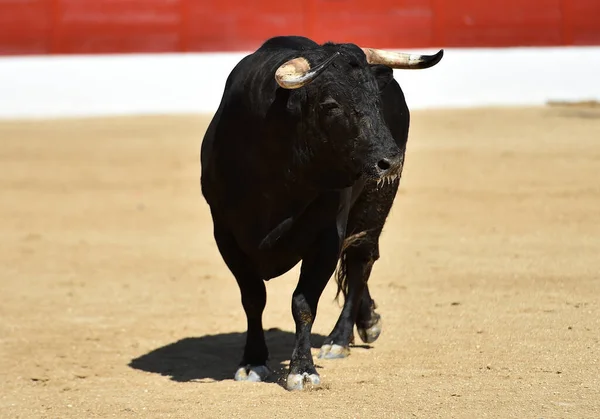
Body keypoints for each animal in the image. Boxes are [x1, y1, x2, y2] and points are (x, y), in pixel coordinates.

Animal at [200, 35, 440, 390]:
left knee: (359, 263)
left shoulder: (326, 237)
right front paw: (252, 362)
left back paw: (339, 339)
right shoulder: (226, 236)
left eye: (376, 100)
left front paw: (302, 369)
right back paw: (368, 320)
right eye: (330, 104)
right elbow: (253, 298)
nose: (391, 160)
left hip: (376, 203)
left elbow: (303, 302)